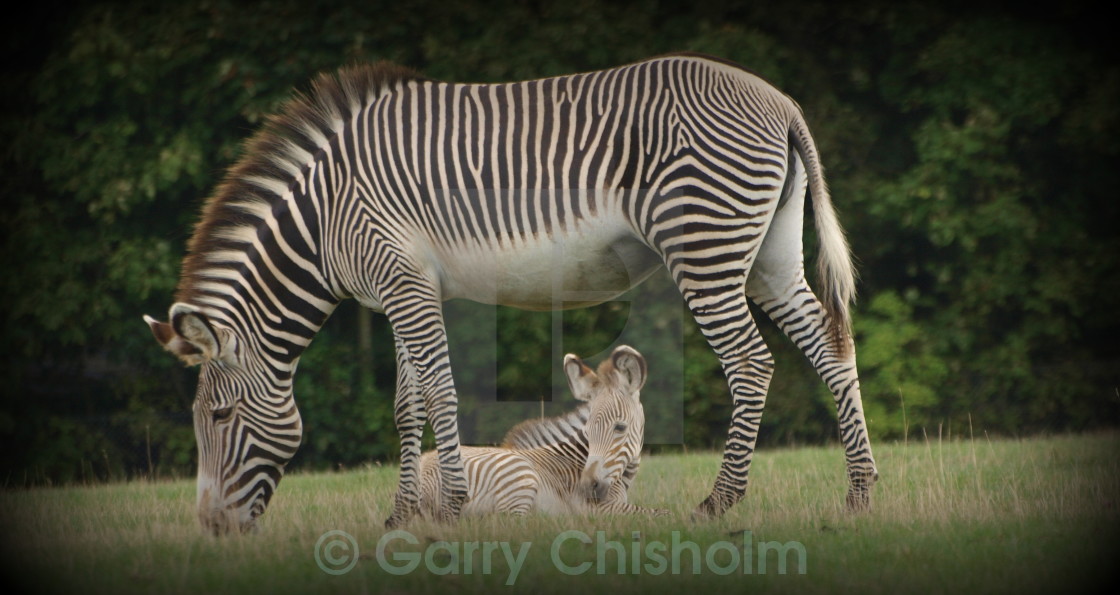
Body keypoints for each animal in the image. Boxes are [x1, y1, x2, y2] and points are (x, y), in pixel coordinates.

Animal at [146, 53, 873, 533]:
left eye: (217, 417)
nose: (211, 530)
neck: (323, 220)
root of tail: (781, 103)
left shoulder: (404, 283)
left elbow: (439, 394)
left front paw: (453, 507)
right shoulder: (404, 289)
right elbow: (406, 404)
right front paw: (403, 516)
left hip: (706, 246)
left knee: (751, 364)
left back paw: (719, 502)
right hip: (769, 255)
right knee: (832, 348)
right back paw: (860, 492)